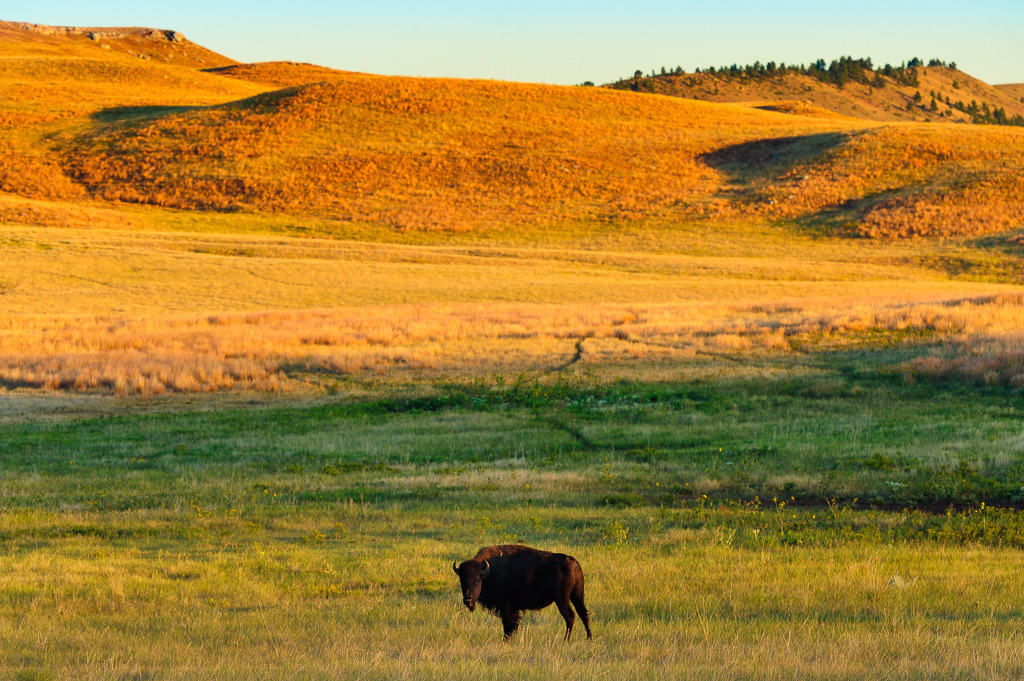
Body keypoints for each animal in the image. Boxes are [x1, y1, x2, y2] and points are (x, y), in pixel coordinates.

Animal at [452, 544, 592, 641]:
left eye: (477, 581)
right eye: (462, 580)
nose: (468, 600)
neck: (488, 572)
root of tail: (572, 562)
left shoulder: (506, 607)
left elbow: (508, 625)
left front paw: (506, 640)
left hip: (562, 599)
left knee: (570, 616)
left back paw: (566, 640)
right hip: (577, 595)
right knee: (583, 613)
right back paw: (589, 638)